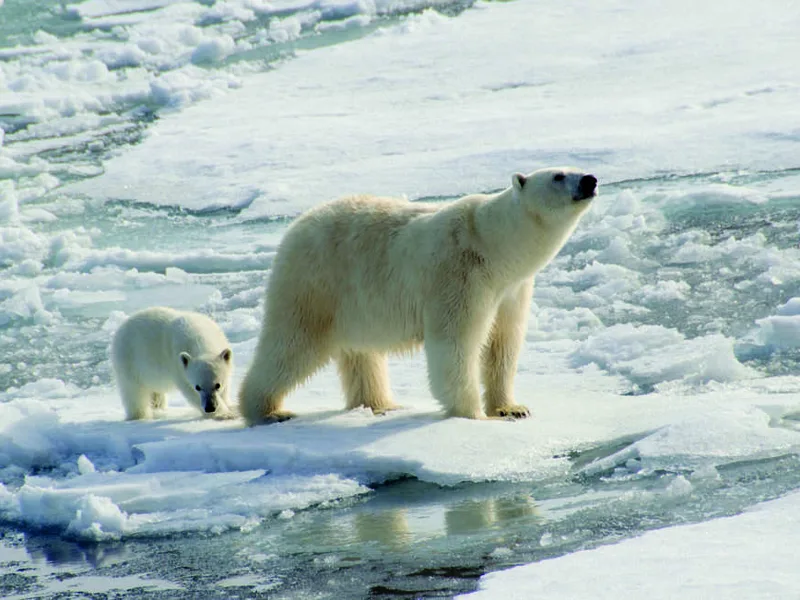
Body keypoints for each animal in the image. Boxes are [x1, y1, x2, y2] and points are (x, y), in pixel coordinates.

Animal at [239, 167, 597, 425]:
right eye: (558, 175)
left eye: (573, 166)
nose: (591, 180)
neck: (493, 246)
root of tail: (295, 226)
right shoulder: (459, 275)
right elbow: (455, 343)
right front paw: (473, 415)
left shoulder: (512, 289)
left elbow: (503, 344)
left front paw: (512, 408)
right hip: (315, 283)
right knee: (292, 343)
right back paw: (268, 410)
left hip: (353, 301)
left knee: (361, 352)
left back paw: (380, 404)